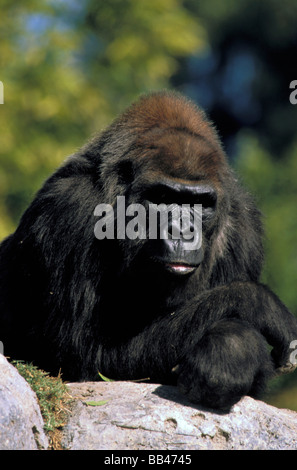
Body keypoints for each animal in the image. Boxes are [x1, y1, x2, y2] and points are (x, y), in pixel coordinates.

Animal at [0, 91, 296, 408]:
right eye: (162, 197)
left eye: (200, 203)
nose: (182, 231)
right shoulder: (69, 208)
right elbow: (79, 357)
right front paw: (255, 310)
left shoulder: (244, 225)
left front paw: (231, 350)